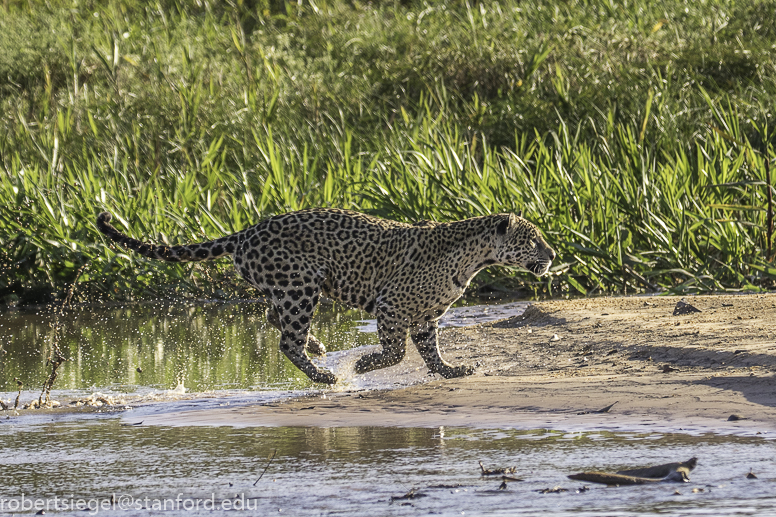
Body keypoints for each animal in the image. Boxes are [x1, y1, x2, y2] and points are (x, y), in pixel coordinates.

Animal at [96, 208, 555, 384]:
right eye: (533, 240)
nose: (552, 256)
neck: (475, 259)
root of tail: (245, 232)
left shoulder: (427, 316)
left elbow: (430, 351)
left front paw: (452, 370)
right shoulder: (391, 305)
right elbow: (396, 352)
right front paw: (363, 365)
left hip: (290, 289)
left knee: (272, 318)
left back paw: (317, 347)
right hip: (301, 287)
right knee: (286, 340)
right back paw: (324, 375)